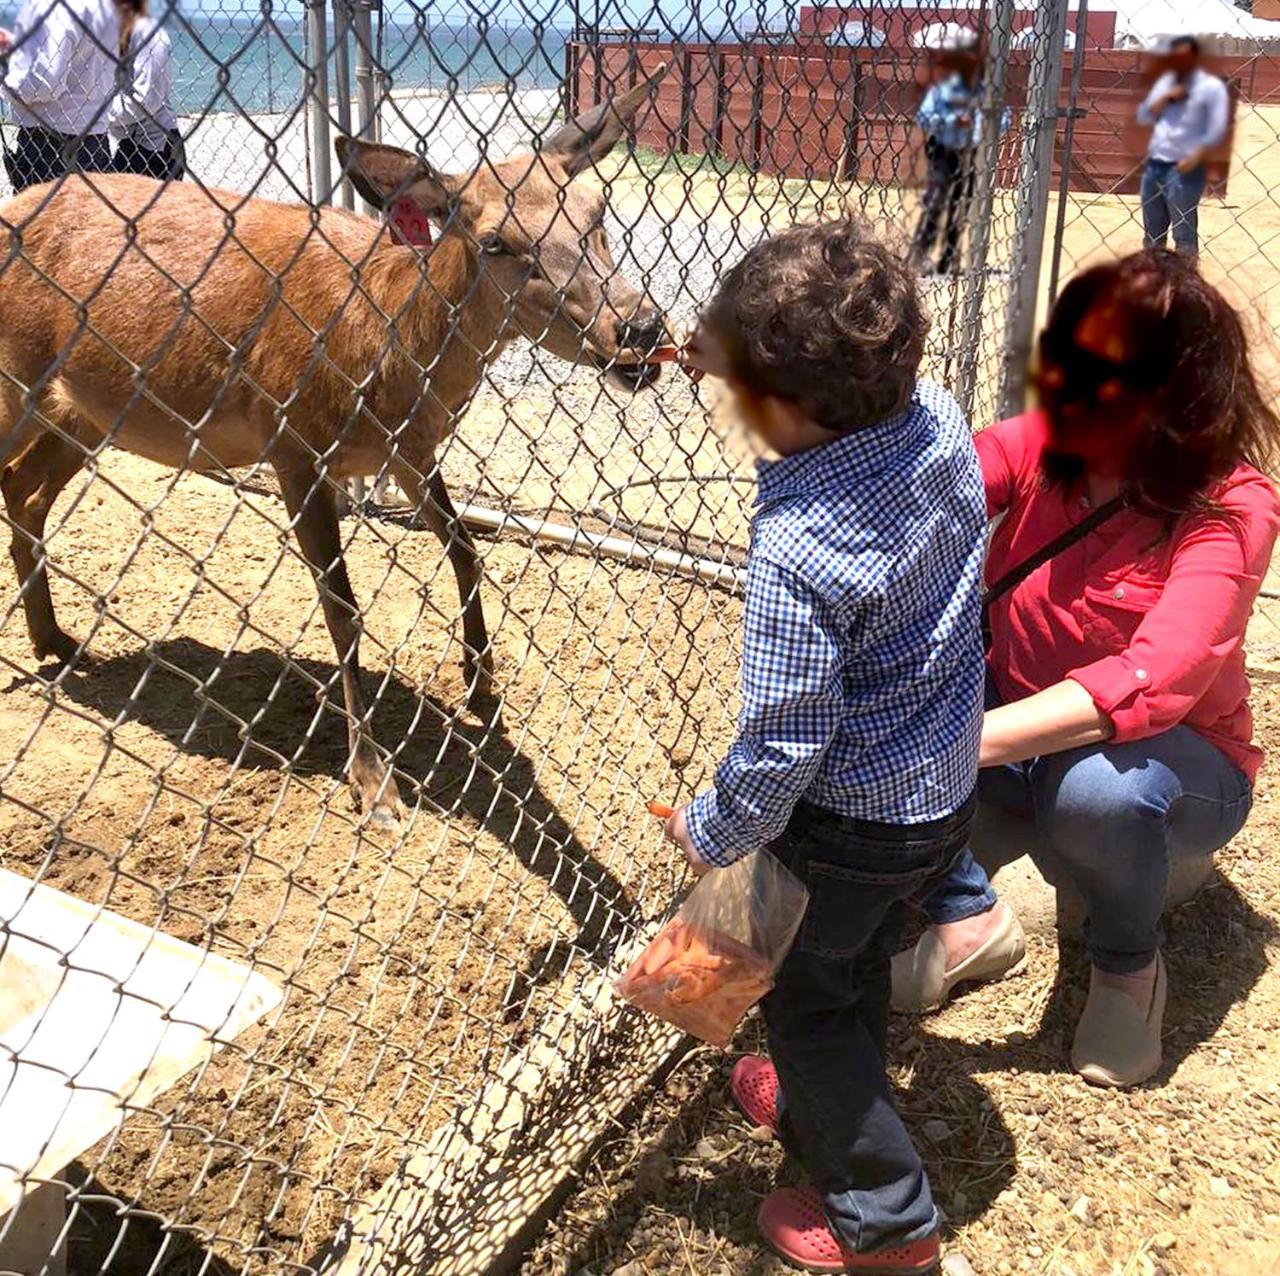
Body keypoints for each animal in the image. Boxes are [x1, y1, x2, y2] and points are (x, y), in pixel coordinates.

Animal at [0, 67, 675, 824]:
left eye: (597, 208)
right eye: (496, 242)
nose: (640, 328)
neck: (387, 360)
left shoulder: (407, 450)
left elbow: (464, 548)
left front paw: (481, 683)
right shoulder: (293, 443)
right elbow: (343, 608)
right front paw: (374, 781)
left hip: (89, 410)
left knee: (24, 487)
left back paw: (53, 639)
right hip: (19, 383)